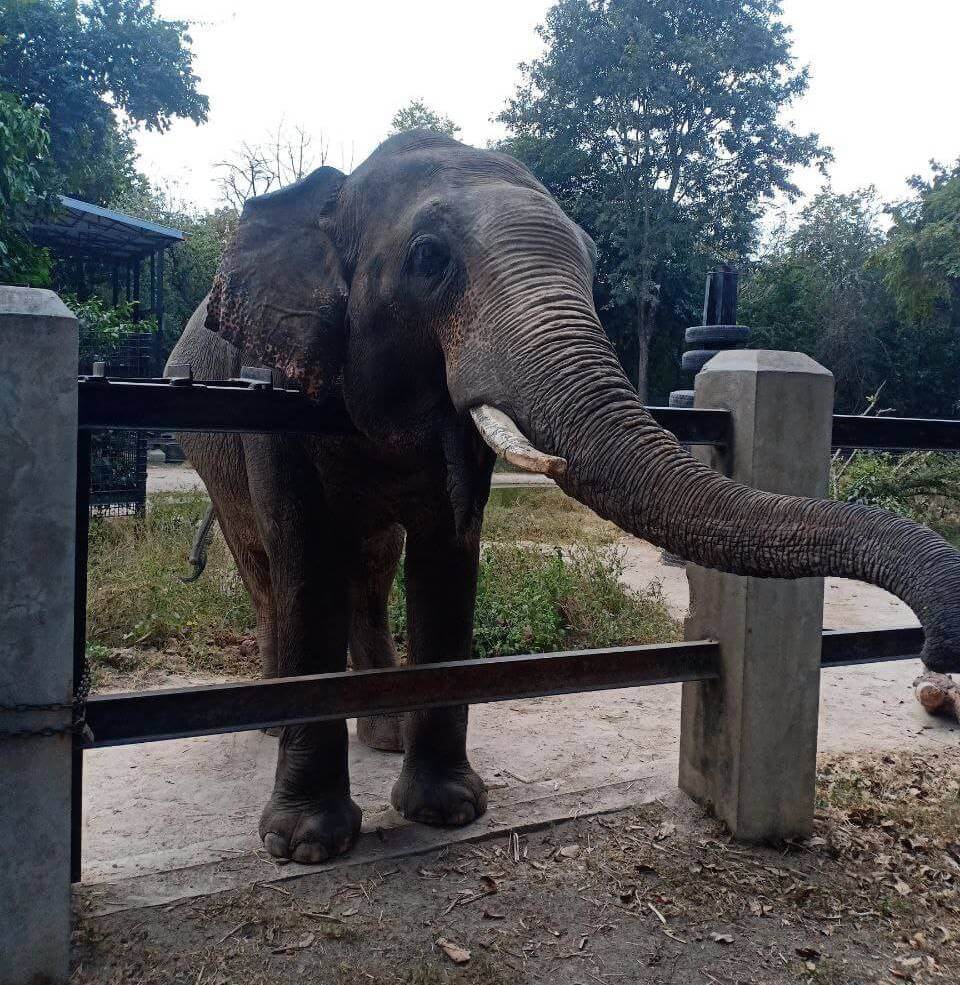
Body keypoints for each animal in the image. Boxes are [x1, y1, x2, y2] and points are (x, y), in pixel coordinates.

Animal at [167, 130, 960, 865]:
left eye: (589, 258)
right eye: (429, 257)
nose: (935, 649)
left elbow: (447, 559)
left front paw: (448, 811)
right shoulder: (275, 397)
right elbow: (305, 563)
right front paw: (305, 846)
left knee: (371, 570)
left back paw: (384, 735)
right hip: (213, 457)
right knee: (267, 568)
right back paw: (273, 721)